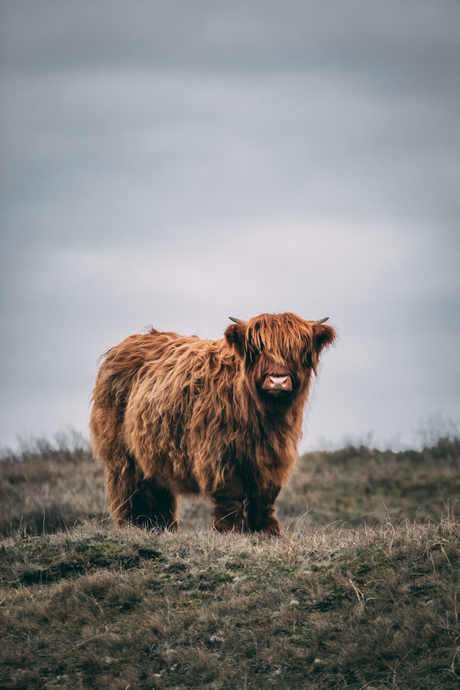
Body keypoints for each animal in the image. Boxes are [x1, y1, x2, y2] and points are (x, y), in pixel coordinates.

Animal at [89, 312, 334, 532]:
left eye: (299, 350)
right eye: (257, 349)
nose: (278, 380)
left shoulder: (273, 454)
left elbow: (265, 495)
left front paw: (267, 530)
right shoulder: (218, 452)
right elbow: (231, 492)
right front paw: (231, 530)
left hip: (153, 450)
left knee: (157, 487)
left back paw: (162, 527)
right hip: (122, 453)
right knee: (129, 486)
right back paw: (132, 525)